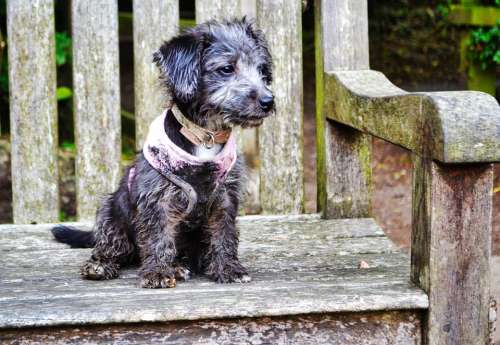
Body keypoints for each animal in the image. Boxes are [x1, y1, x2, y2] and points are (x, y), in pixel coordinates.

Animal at [51, 18, 274, 288]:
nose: (268, 101)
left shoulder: (225, 197)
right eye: (227, 69)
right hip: (109, 210)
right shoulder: (158, 197)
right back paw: (102, 265)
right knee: (112, 246)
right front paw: (157, 272)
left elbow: (224, 233)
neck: (205, 137)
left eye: (262, 70)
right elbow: (158, 237)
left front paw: (228, 267)